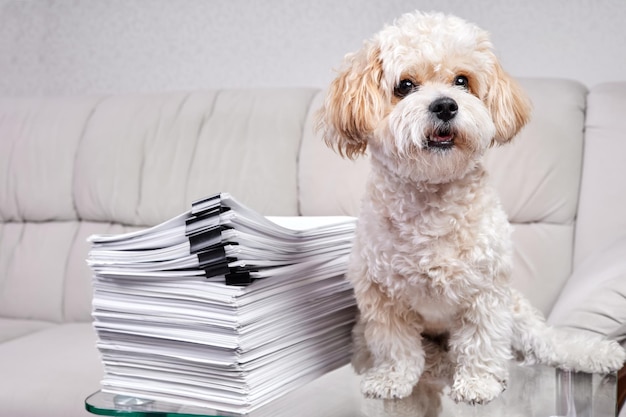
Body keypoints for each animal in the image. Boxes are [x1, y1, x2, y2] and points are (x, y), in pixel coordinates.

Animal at [316, 11, 624, 404]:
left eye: (462, 80)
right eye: (405, 85)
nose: (446, 105)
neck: (432, 199)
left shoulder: (486, 290)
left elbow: (482, 340)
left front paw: (479, 382)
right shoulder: (381, 297)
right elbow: (396, 346)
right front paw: (392, 379)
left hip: (517, 310)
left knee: (544, 340)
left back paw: (595, 353)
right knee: (431, 355)